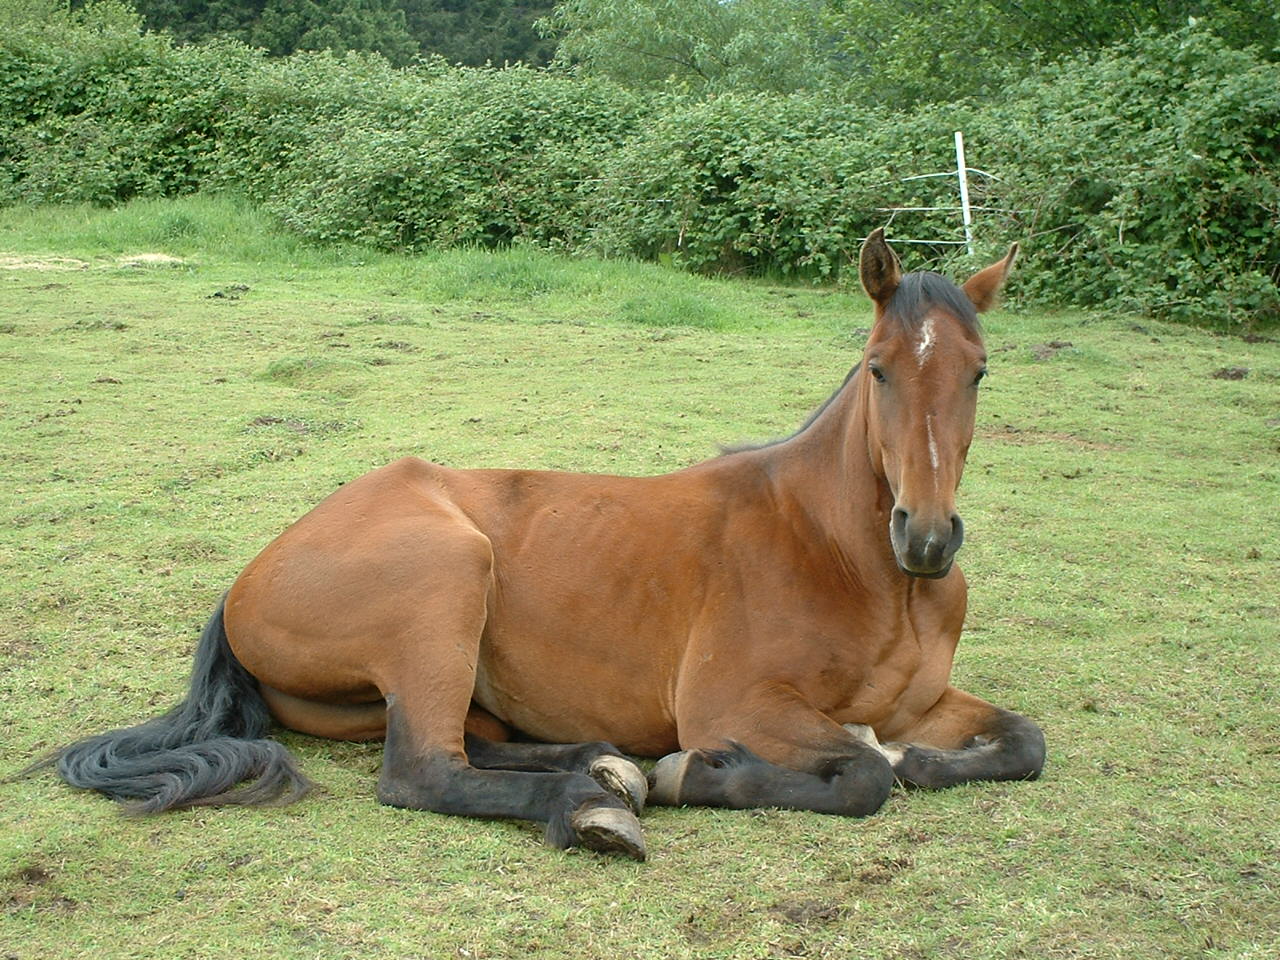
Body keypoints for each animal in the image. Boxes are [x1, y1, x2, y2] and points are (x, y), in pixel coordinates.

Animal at [31, 230, 1045, 861]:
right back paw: (594, 803)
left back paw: (601, 766)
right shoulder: (735, 704)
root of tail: (245, 580)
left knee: (476, 747)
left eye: (979, 373)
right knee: (424, 772)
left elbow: (1017, 742)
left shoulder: (922, 701)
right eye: (879, 370)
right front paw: (695, 773)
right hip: (447, 578)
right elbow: (863, 775)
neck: (843, 558)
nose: (927, 539)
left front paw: (921, 760)